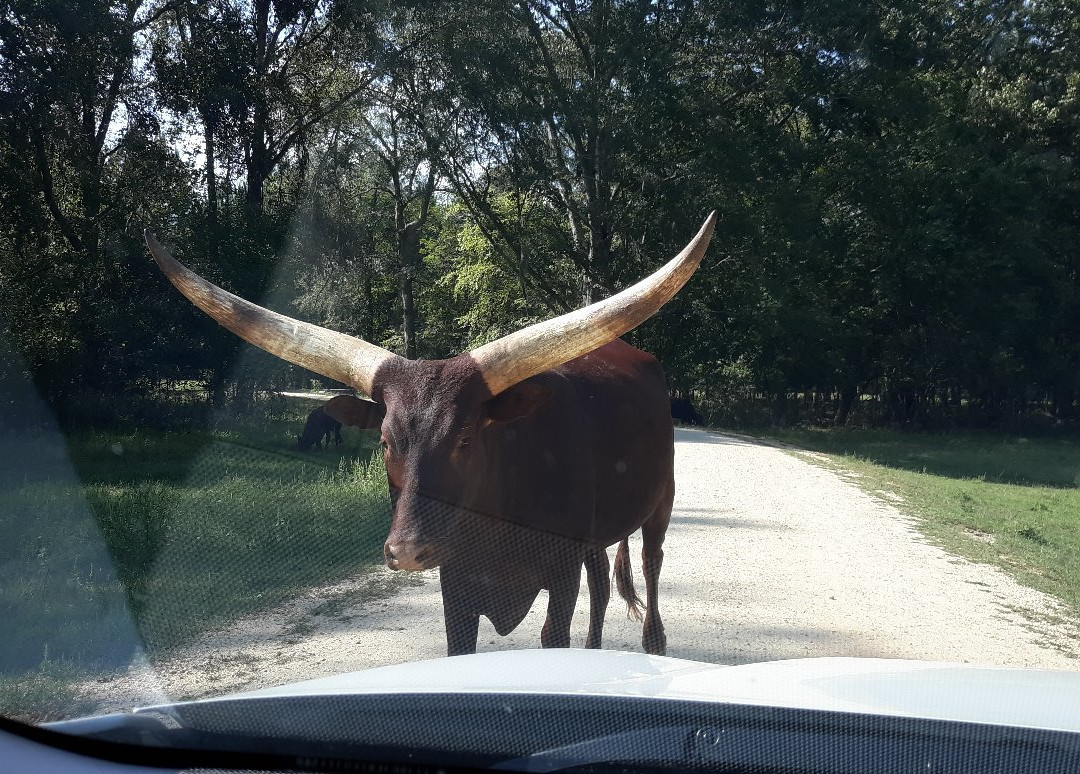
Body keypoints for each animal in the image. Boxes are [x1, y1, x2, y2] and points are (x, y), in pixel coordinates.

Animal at [145, 214, 717, 656]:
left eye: (465, 439)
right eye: (384, 442)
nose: (407, 551)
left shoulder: (558, 575)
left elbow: (555, 634)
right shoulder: (456, 584)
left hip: (661, 504)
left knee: (650, 565)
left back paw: (655, 641)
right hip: (595, 535)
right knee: (601, 587)